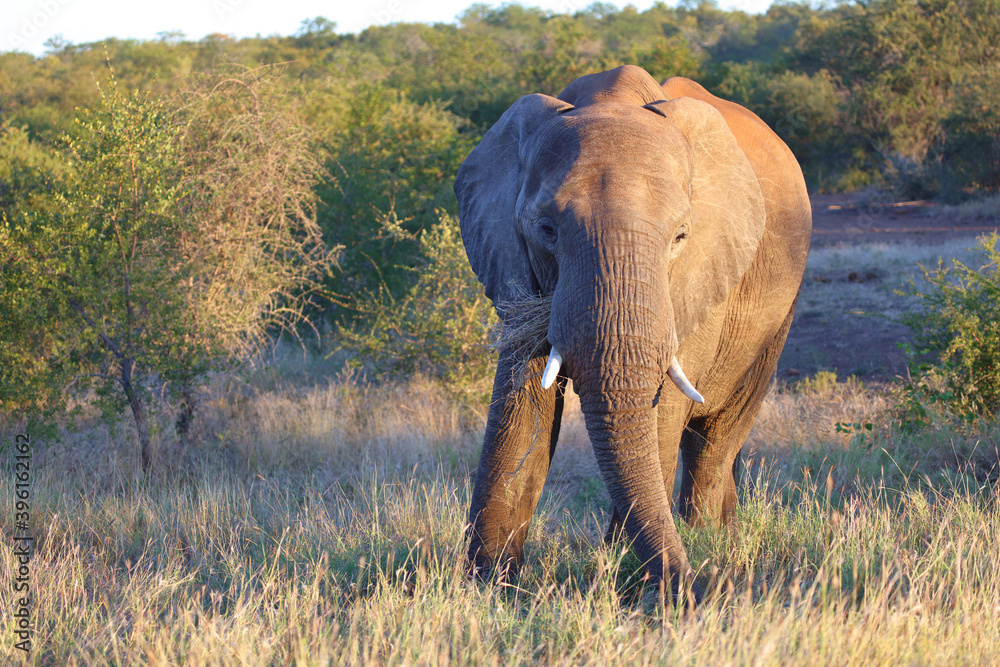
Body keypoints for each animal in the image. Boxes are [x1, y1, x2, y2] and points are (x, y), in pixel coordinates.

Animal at [454, 65, 811, 598]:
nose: (693, 592)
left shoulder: (698, 276)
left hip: (780, 306)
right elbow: (524, 408)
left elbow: (660, 412)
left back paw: (707, 537)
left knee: (716, 438)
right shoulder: (515, 265)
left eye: (681, 236)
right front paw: (488, 588)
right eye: (546, 229)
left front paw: (623, 580)